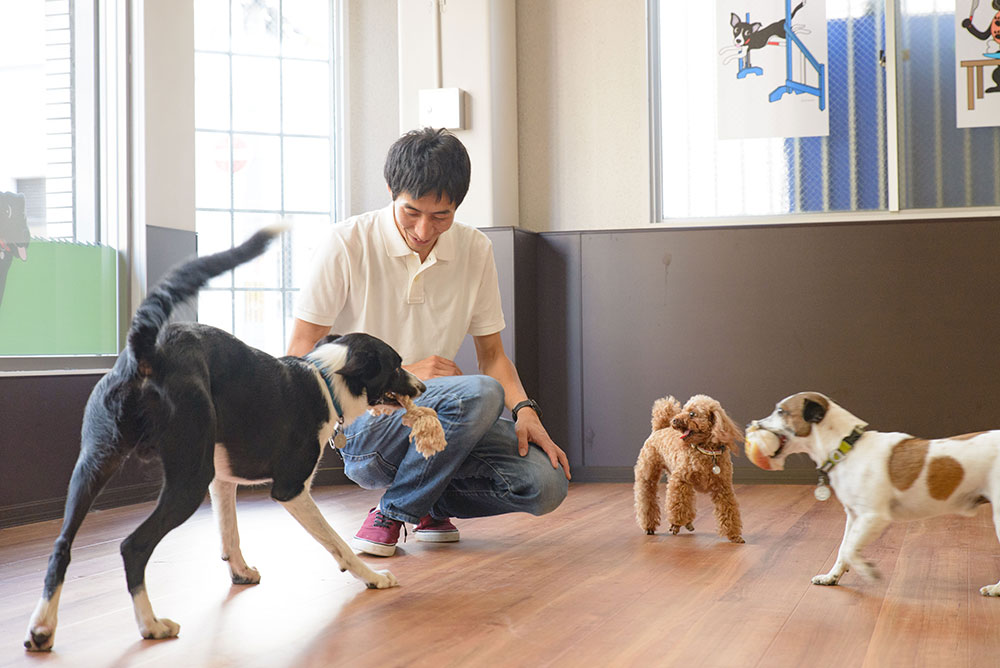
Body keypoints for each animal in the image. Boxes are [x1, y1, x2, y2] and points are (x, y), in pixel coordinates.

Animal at [23, 227, 422, 648]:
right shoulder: (290, 489)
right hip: (188, 481)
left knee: (61, 545)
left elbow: (230, 533)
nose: (423, 386)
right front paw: (372, 577)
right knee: (134, 546)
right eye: (397, 365)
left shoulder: (223, 481)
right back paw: (151, 625)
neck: (325, 380)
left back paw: (43, 627)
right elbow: (337, 542)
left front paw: (240, 573)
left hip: (95, 464)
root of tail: (147, 352)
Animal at [748, 392, 1000, 596]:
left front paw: (867, 571)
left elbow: (850, 549)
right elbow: (844, 548)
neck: (847, 448)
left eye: (781, 411)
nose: (755, 423)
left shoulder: (873, 517)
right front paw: (832, 577)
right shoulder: (853, 516)